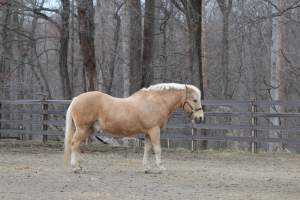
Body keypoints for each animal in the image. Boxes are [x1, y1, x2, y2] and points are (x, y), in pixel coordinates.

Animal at [63, 82, 204, 173]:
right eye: (195, 100)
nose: (200, 118)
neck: (155, 102)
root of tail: (76, 99)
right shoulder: (154, 130)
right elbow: (157, 149)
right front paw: (161, 167)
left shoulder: (148, 133)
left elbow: (147, 150)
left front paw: (147, 168)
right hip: (82, 129)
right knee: (74, 144)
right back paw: (75, 168)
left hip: (88, 129)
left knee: (77, 145)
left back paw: (79, 166)